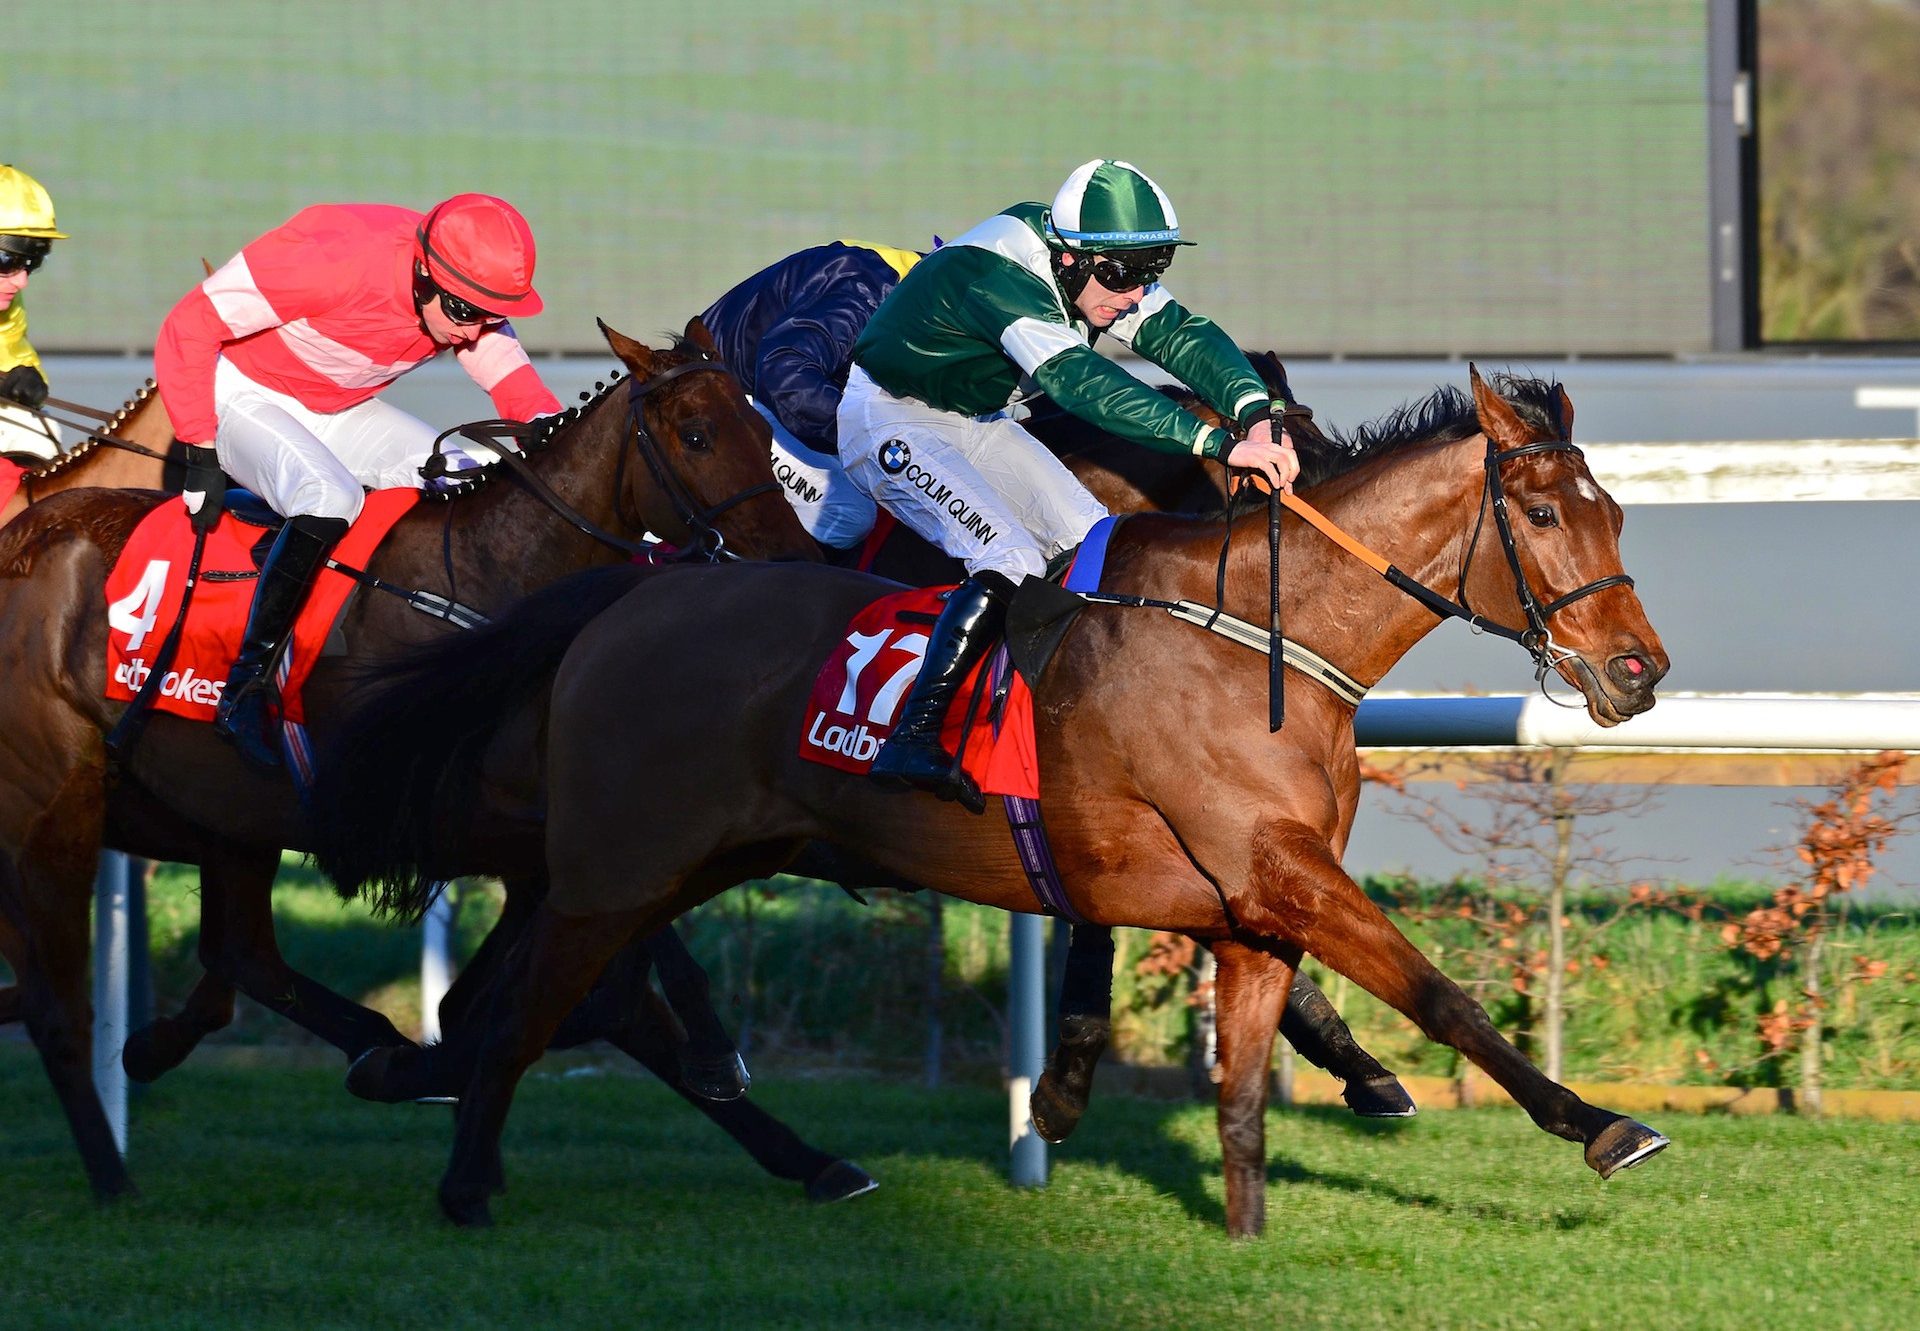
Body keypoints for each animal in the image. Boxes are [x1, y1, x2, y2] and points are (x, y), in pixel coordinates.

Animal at [0, 318, 844, 1190]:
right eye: (697, 434)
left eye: (762, 432)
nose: (800, 563)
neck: (485, 582)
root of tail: (27, 536)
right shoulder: (458, 815)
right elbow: (603, 971)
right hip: (60, 804)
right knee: (65, 995)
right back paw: (118, 1167)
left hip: (225, 808)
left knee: (240, 953)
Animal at [311, 363, 1666, 1221]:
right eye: (1542, 510)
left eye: (1612, 511)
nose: (1637, 670)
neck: (1247, 633)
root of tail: (621, 595)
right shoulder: (1268, 864)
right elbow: (1439, 991)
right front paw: (1598, 1121)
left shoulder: (1221, 885)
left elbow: (1215, 1012)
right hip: (617, 866)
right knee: (530, 1002)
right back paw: (468, 1170)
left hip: (662, 866)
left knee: (543, 996)